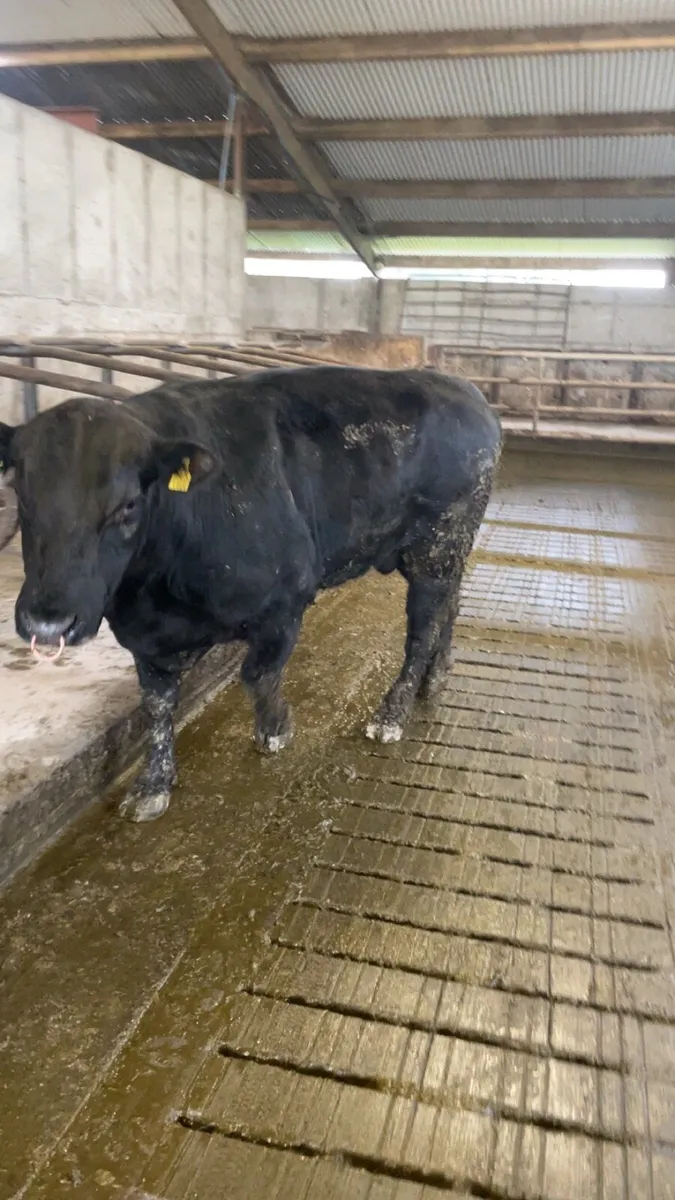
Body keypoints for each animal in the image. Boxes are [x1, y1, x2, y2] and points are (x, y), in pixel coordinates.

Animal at [0, 367, 501, 822]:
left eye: (128, 505)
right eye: (21, 495)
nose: (48, 621)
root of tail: (466, 390)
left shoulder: (283, 603)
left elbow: (257, 675)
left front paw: (276, 729)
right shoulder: (145, 638)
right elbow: (157, 707)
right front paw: (153, 786)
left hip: (436, 545)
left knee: (421, 630)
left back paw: (392, 714)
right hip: (446, 550)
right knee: (450, 607)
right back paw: (437, 677)